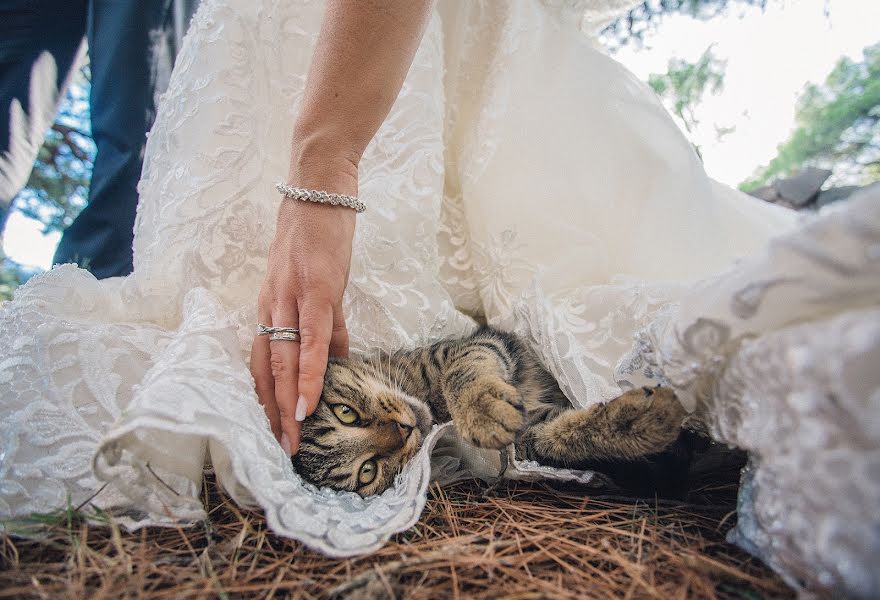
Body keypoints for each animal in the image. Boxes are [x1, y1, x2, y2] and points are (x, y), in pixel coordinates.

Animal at [294, 328, 688, 496]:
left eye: (345, 413)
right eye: (368, 471)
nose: (404, 430)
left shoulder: (480, 343)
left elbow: (463, 369)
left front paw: (480, 408)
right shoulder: (526, 444)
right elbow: (558, 436)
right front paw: (638, 423)